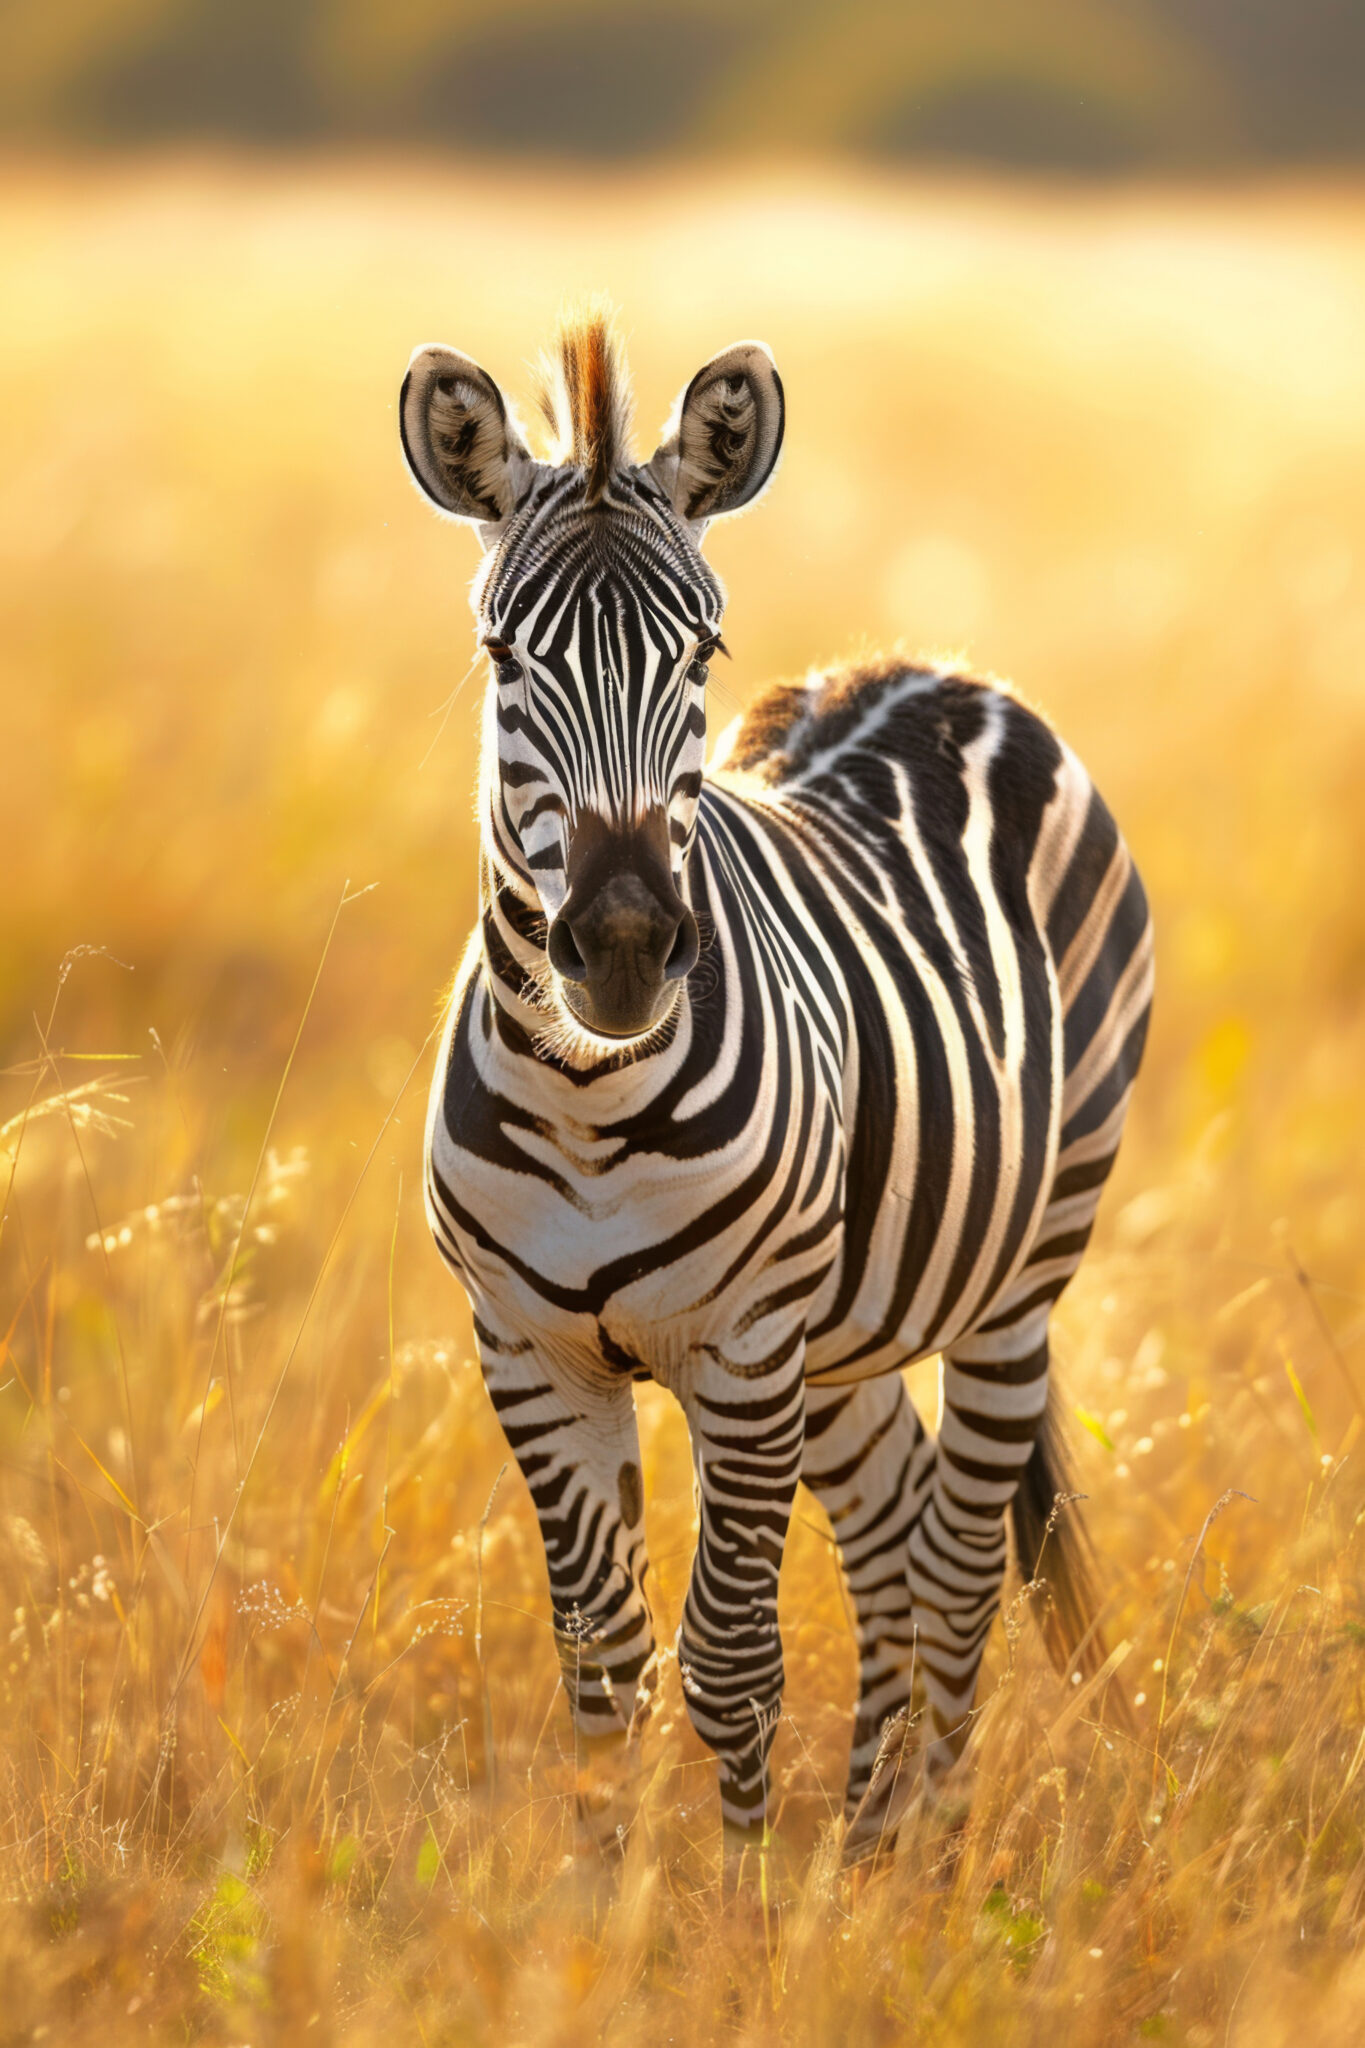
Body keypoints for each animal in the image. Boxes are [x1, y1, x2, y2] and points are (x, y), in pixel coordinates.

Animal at [400, 309, 1153, 1865]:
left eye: (701, 648)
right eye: (504, 656)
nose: (627, 943)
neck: (590, 1108)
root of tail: (930, 666)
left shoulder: (744, 1350)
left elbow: (733, 1656)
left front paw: (741, 1901)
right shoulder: (528, 1349)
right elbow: (602, 1664)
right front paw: (605, 1899)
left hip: (1019, 1277)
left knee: (958, 1557)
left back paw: (926, 1852)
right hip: (845, 1329)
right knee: (895, 1524)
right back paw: (863, 1842)